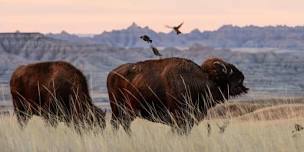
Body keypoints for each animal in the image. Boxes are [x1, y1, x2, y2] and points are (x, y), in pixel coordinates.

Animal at [106, 57, 247, 134]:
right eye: (228, 74)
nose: (242, 76)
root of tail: (112, 74)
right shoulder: (180, 119)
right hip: (119, 109)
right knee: (118, 124)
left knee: (122, 124)